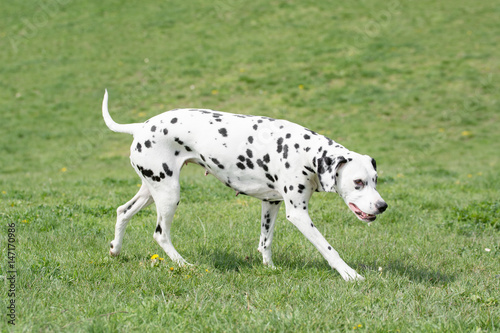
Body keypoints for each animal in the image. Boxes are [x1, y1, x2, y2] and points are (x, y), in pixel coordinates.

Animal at [103, 90, 388, 280]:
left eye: (375, 179)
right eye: (358, 182)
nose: (382, 206)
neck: (305, 151)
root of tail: (140, 126)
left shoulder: (271, 203)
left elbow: (265, 242)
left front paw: (270, 267)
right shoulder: (298, 213)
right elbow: (328, 248)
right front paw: (350, 274)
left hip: (152, 189)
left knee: (122, 211)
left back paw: (116, 250)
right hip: (169, 194)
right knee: (160, 234)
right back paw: (184, 265)